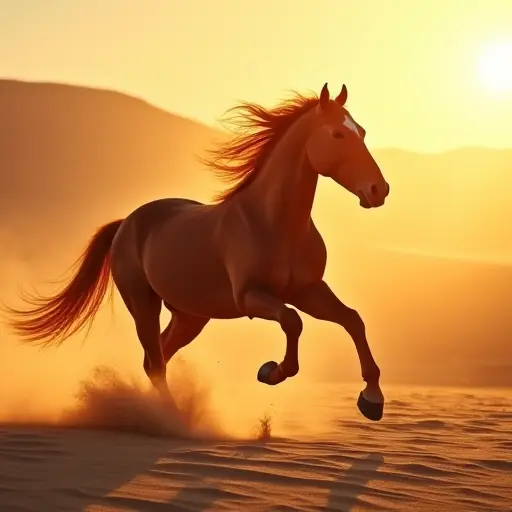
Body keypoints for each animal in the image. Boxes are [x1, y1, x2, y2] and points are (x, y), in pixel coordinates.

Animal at [4, 83, 390, 420]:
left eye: (363, 132)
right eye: (337, 135)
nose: (379, 190)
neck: (274, 223)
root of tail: (127, 222)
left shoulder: (307, 290)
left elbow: (352, 319)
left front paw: (372, 400)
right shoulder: (250, 297)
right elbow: (292, 322)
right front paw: (270, 371)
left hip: (190, 316)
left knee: (158, 355)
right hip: (143, 303)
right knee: (155, 359)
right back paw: (172, 417)